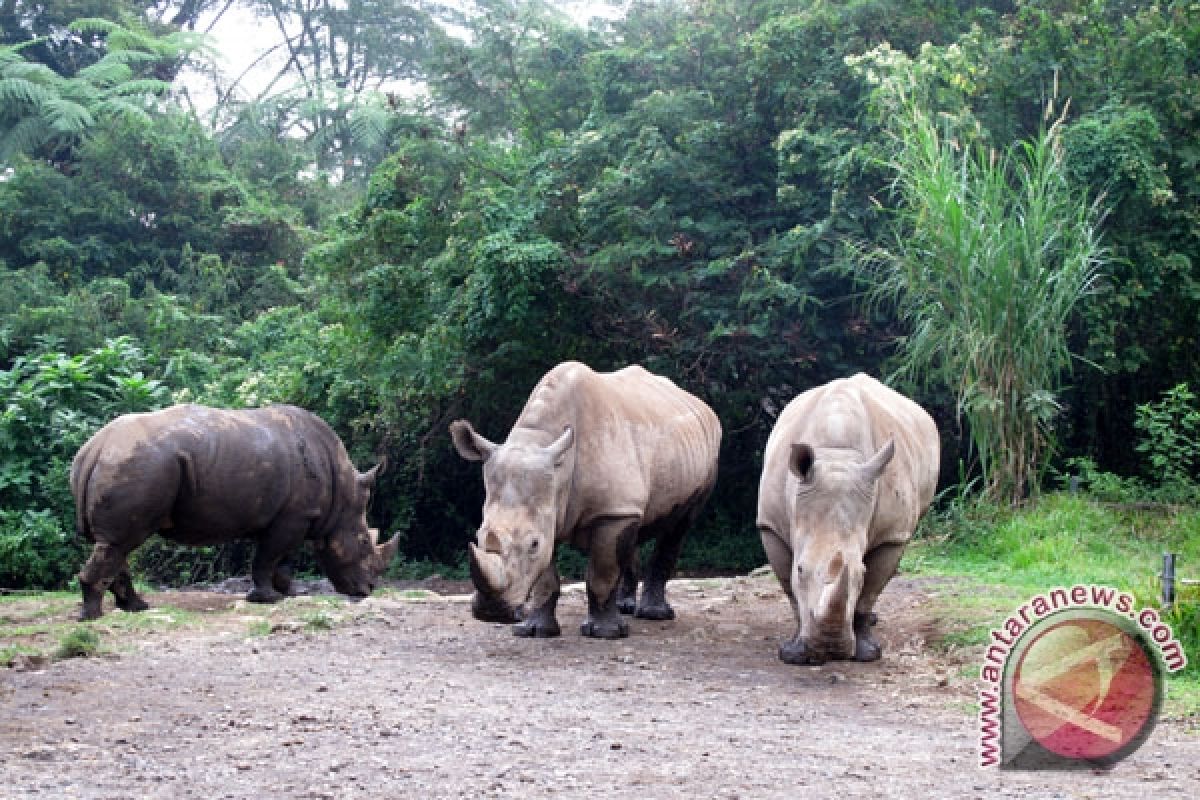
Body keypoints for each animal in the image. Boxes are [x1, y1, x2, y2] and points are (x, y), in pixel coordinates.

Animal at [69, 407, 398, 618]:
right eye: (364, 543)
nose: (369, 590)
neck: (342, 495)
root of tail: (95, 449)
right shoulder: (293, 517)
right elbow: (268, 558)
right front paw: (267, 599)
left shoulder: (291, 516)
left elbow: (281, 561)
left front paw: (290, 595)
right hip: (139, 463)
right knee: (120, 543)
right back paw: (94, 617)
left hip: (125, 461)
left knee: (113, 545)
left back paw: (136, 608)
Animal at [448, 362, 710, 638]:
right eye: (478, 536)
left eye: (533, 544)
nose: (491, 612)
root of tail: (698, 402)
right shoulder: (556, 510)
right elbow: (545, 578)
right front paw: (536, 631)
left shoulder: (610, 512)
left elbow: (602, 572)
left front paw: (605, 633)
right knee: (634, 530)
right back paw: (625, 608)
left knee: (678, 527)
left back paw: (653, 615)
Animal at [758, 374, 936, 662]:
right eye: (801, 569)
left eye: (860, 573)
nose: (829, 649)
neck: (836, 456)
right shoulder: (770, 526)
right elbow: (790, 589)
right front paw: (793, 653)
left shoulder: (892, 535)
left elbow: (870, 590)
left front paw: (867, 653)